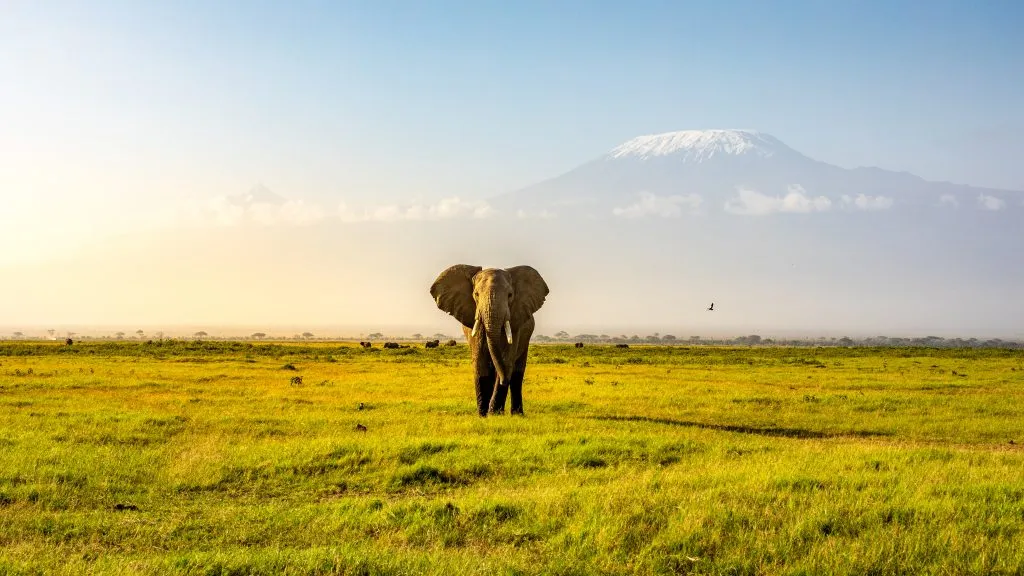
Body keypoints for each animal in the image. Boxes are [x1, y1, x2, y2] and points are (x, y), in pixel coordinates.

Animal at [430, 264, 549, 417]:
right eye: (476, 294)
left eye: (510, 295)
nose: (504, 381)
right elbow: (480, 363)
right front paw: (482, 415)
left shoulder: (516, 325)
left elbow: (506, 361)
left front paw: (494, 414)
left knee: (516, 375)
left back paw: (516, 414)